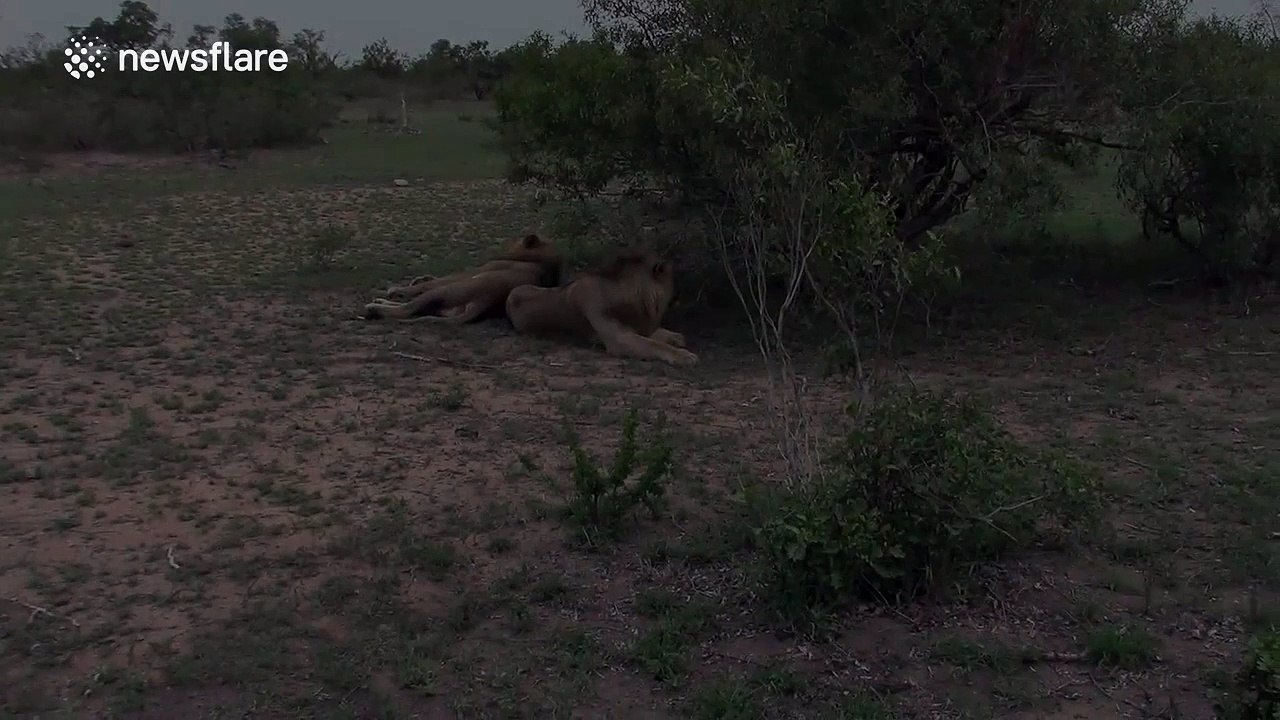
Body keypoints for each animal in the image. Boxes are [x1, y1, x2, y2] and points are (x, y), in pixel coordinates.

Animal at [364, 233, 562, 323]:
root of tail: (486, 303)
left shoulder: (468, 274)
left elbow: (434, 281)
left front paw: (399, 288)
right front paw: (420, 278)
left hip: (448, 290)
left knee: (408, 309)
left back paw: (375, 308)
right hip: (443, 305)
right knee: (416, 307)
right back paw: (379, 302)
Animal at [504, 248, 698, 366]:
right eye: (673, 279)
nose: (680, 294)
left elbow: (655, 336)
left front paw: (675, 337)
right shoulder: (619, 340)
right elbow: (655, 345)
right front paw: (684, 356)